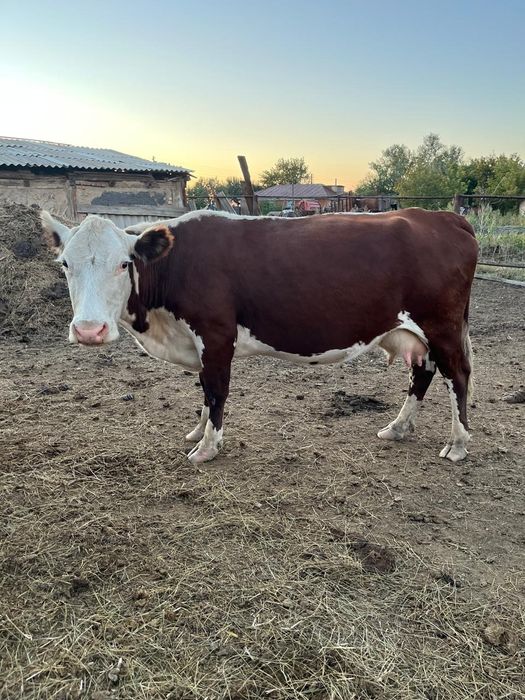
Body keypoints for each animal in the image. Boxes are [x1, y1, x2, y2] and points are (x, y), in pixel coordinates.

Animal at [41, 208, 478, 465]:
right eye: (65, 264)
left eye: (123, 263)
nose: (89, 330)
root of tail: (441, 216)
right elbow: (204, 388)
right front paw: (198, 431)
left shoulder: (216, 334)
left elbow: (216, 389)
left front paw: (207, 447)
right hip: (417, 331)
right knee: (423, 372)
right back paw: (398, 428)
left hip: (441, 325)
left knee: (457, 375)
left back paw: (458, 443)